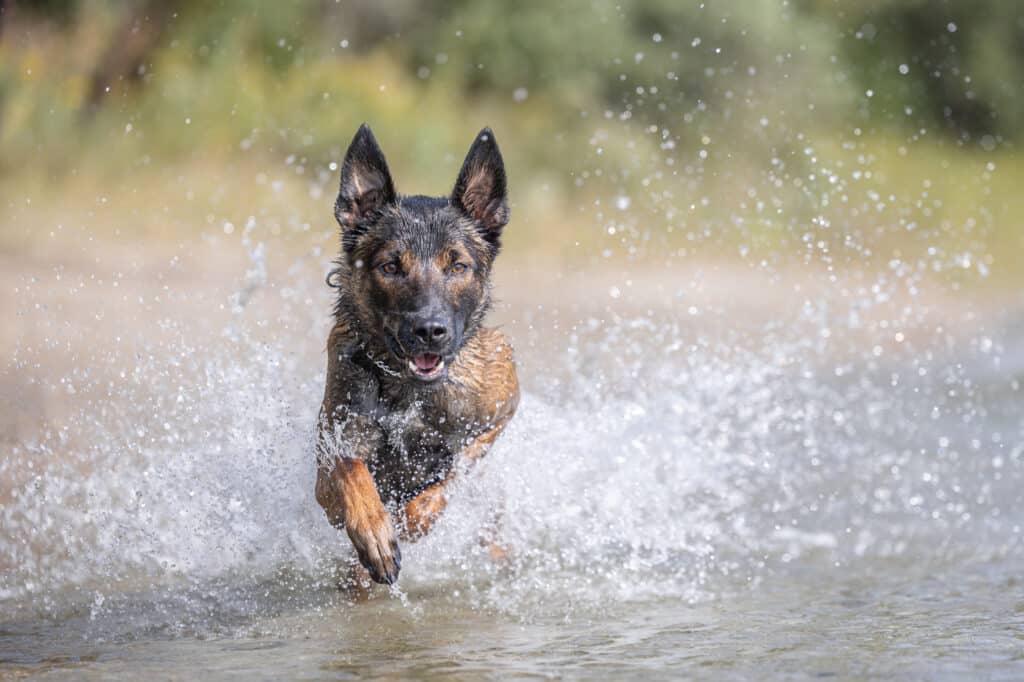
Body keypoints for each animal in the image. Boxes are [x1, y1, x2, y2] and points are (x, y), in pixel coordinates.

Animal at [311, 123, 520, 585]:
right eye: (391, 267)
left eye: (457, 266)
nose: (430, 331)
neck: (410, 391)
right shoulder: (329, 454)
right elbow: (349, 471)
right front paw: (375, 530)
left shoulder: (500, 405)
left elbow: (455, 474)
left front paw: (413, 518)